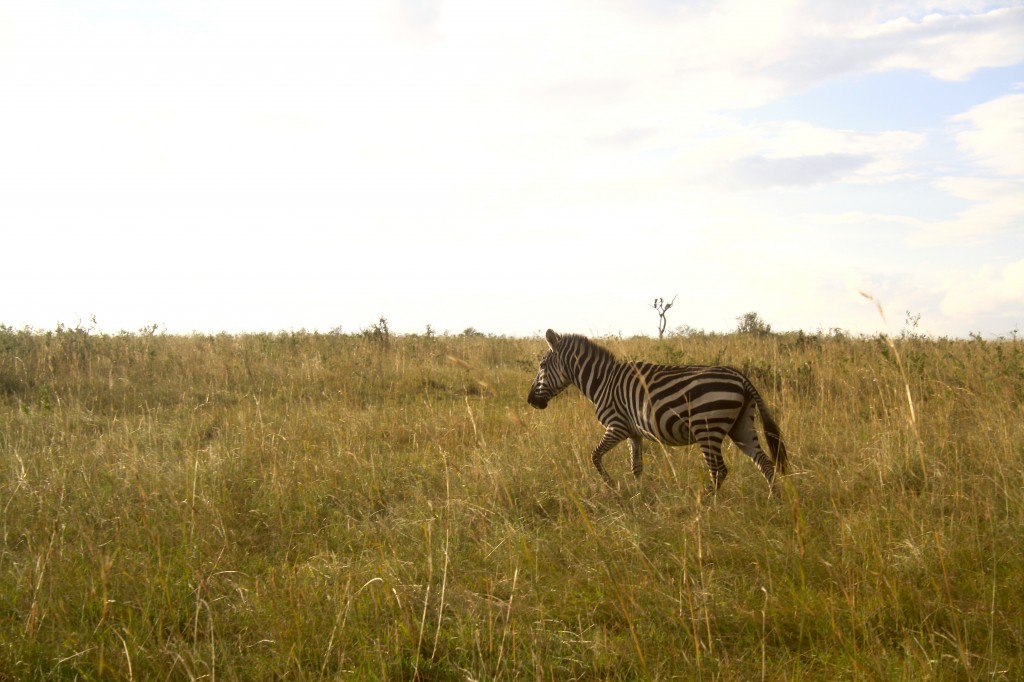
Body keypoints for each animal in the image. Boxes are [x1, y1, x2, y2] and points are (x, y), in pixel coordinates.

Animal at [524, 327, 786, 497]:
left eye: (542, 366)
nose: (530, 401)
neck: (602, 381)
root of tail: (740, 376)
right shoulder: (633, 432)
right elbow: (636, 467)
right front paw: (640, 494)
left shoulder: (616, 426)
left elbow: (594, 456)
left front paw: (612, 486)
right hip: (741, 426)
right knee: (765, 463)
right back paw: (774, 500)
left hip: (707, 428)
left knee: (719, 470)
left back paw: (707, 505)